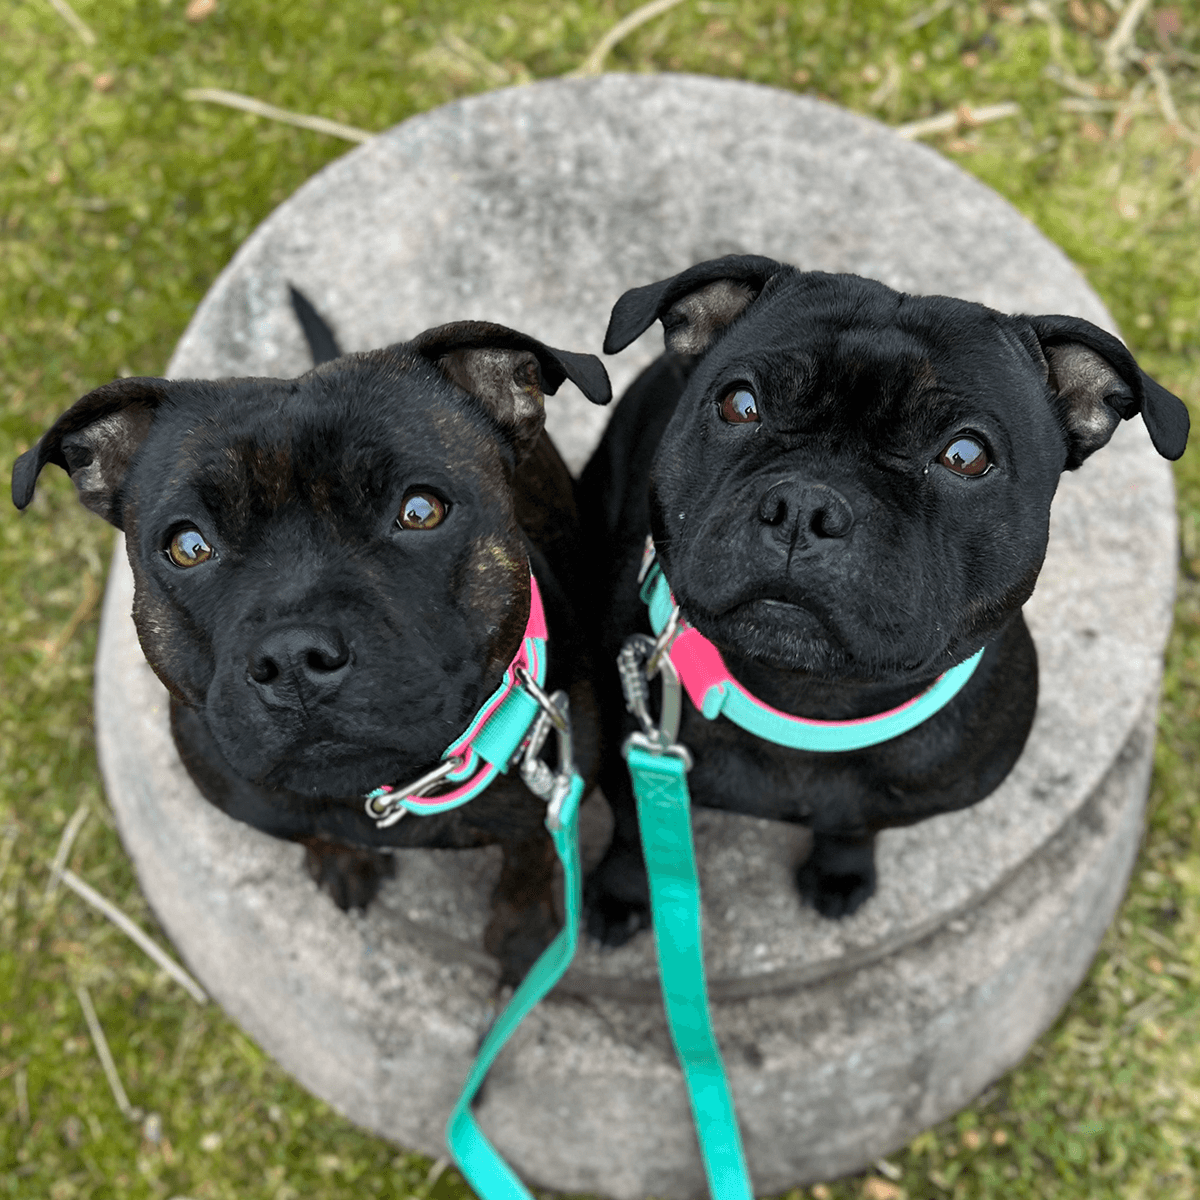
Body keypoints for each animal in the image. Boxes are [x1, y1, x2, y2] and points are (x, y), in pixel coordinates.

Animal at [9, 302, 609, 984]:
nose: (294, 658)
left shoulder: (555, 793)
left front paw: (524, 935)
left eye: (421, 510)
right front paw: (341, 858)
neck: (387, 791)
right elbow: (316, 831)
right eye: (188, 546)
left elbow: (531, 861)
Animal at [580, 255, 1190, 945]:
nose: (806, 507)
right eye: (740, 405)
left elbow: (855, 823)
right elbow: (636, 835)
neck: (811, 700)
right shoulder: (628, 764)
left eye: (966, 455)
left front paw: (842, 871)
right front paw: (622, 895)